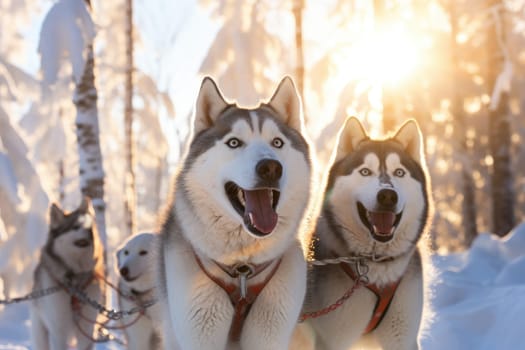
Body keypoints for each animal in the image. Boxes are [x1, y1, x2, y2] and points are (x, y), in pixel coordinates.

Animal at [29, 198, 104, 348]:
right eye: (76, 226)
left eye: (91, 226)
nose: (90, 231)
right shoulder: (59, 331)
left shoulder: (87, 330)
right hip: (40, 331)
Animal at [304, 118, 432, 350]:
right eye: (365, 172)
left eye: (399, 172)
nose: (388, 196)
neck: (376, 265)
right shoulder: (332, 339)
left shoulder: (403, 338)